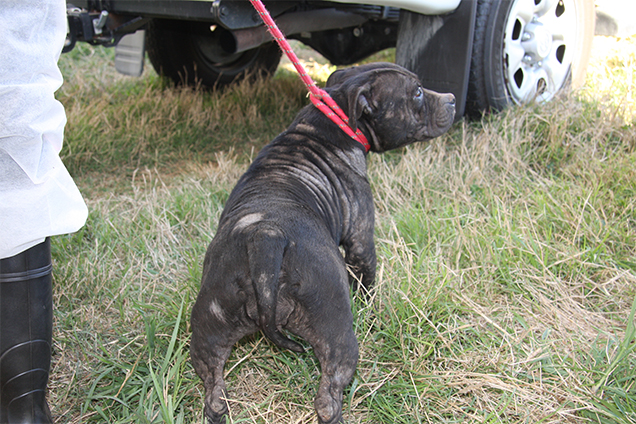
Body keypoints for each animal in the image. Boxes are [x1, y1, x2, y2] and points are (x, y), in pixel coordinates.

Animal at [191, 63, 454, 424]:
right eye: (415, 92)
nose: (452, 99)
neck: (335, 114)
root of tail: (266, 237)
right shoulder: (361, 240)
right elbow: (367, 282)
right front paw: (371, 308)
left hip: (209, 324)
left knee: (214, 391)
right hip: (335, 331)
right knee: (328, 397)